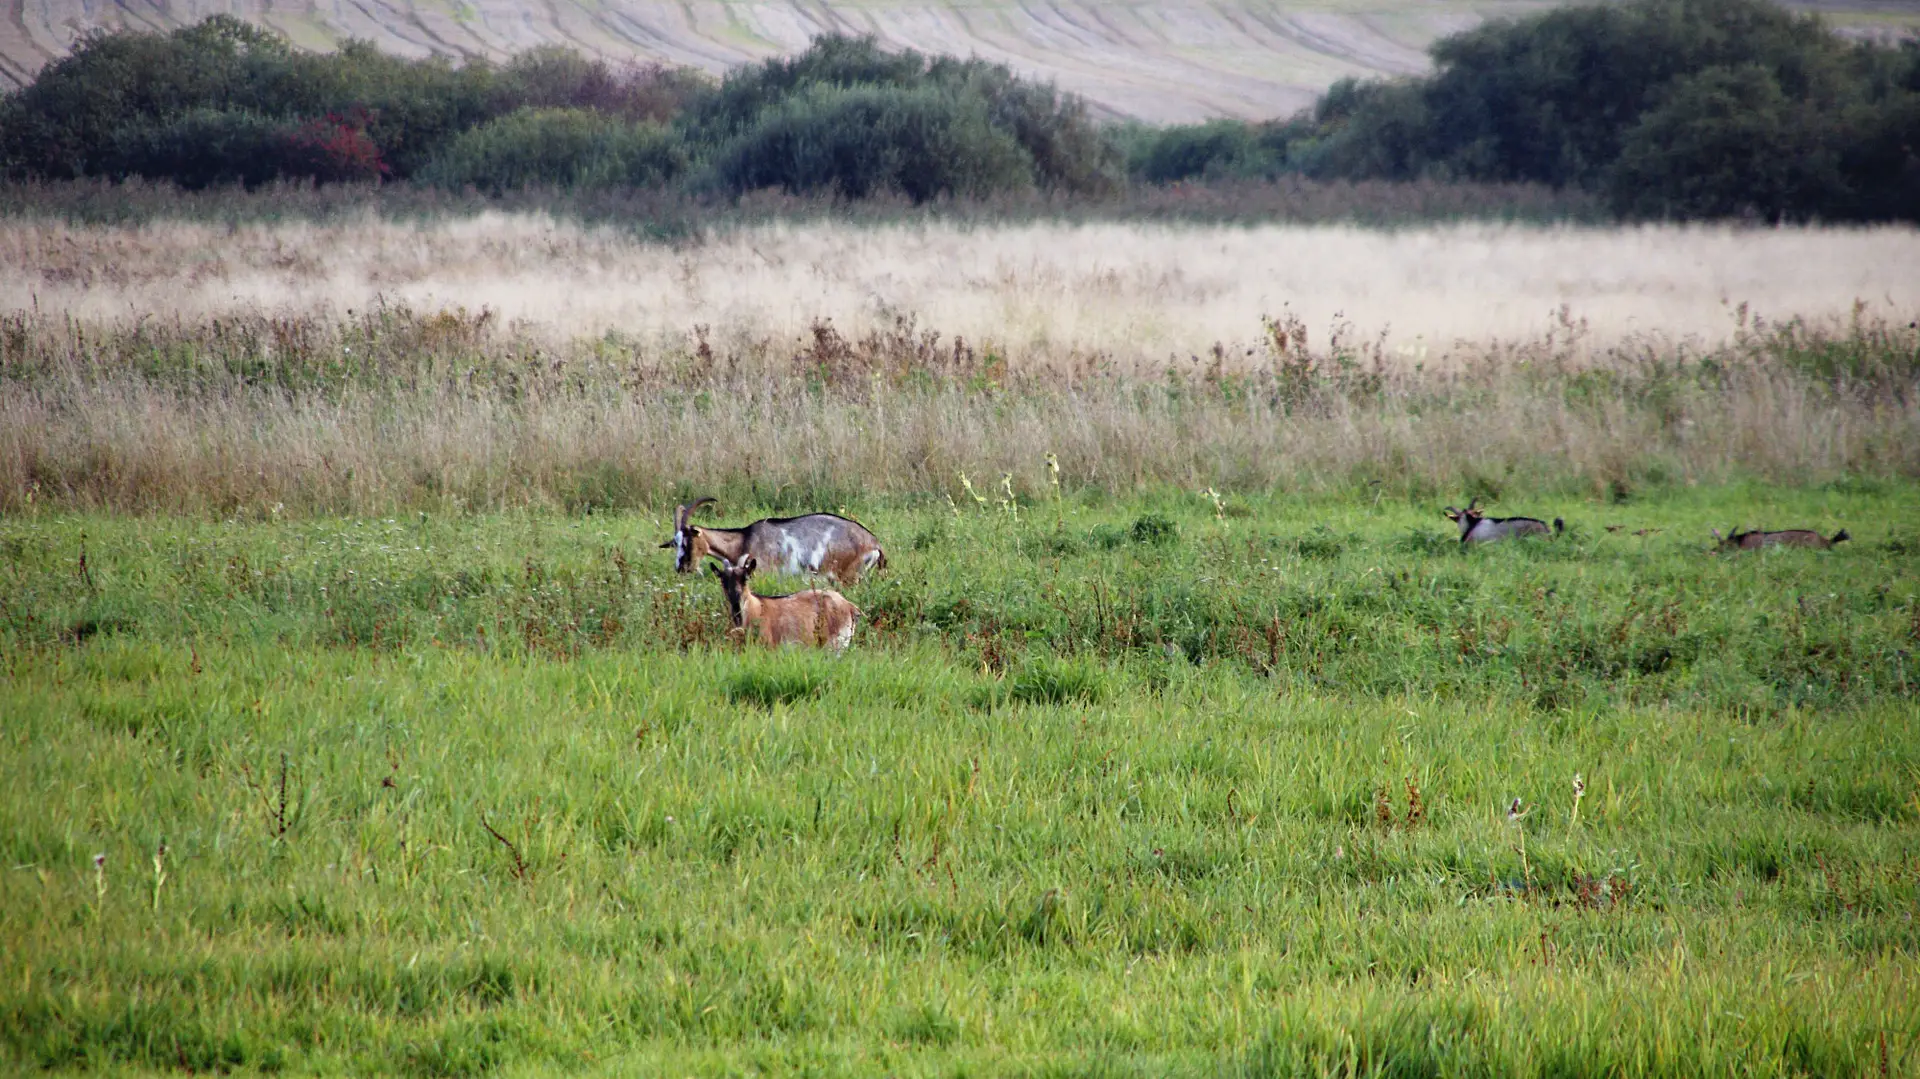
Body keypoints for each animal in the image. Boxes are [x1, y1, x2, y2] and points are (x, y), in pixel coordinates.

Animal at [661, 497, 885, 587]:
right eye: (675, 543)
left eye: (688, 541)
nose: (682, 568)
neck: (742, 541)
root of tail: (874, 543)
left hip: (848, 577)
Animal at [710, 554, 860, 650]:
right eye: (723, 580)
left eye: (745, 578)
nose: (735, 598)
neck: (756, 607)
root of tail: (849, 605)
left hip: (835, 643)